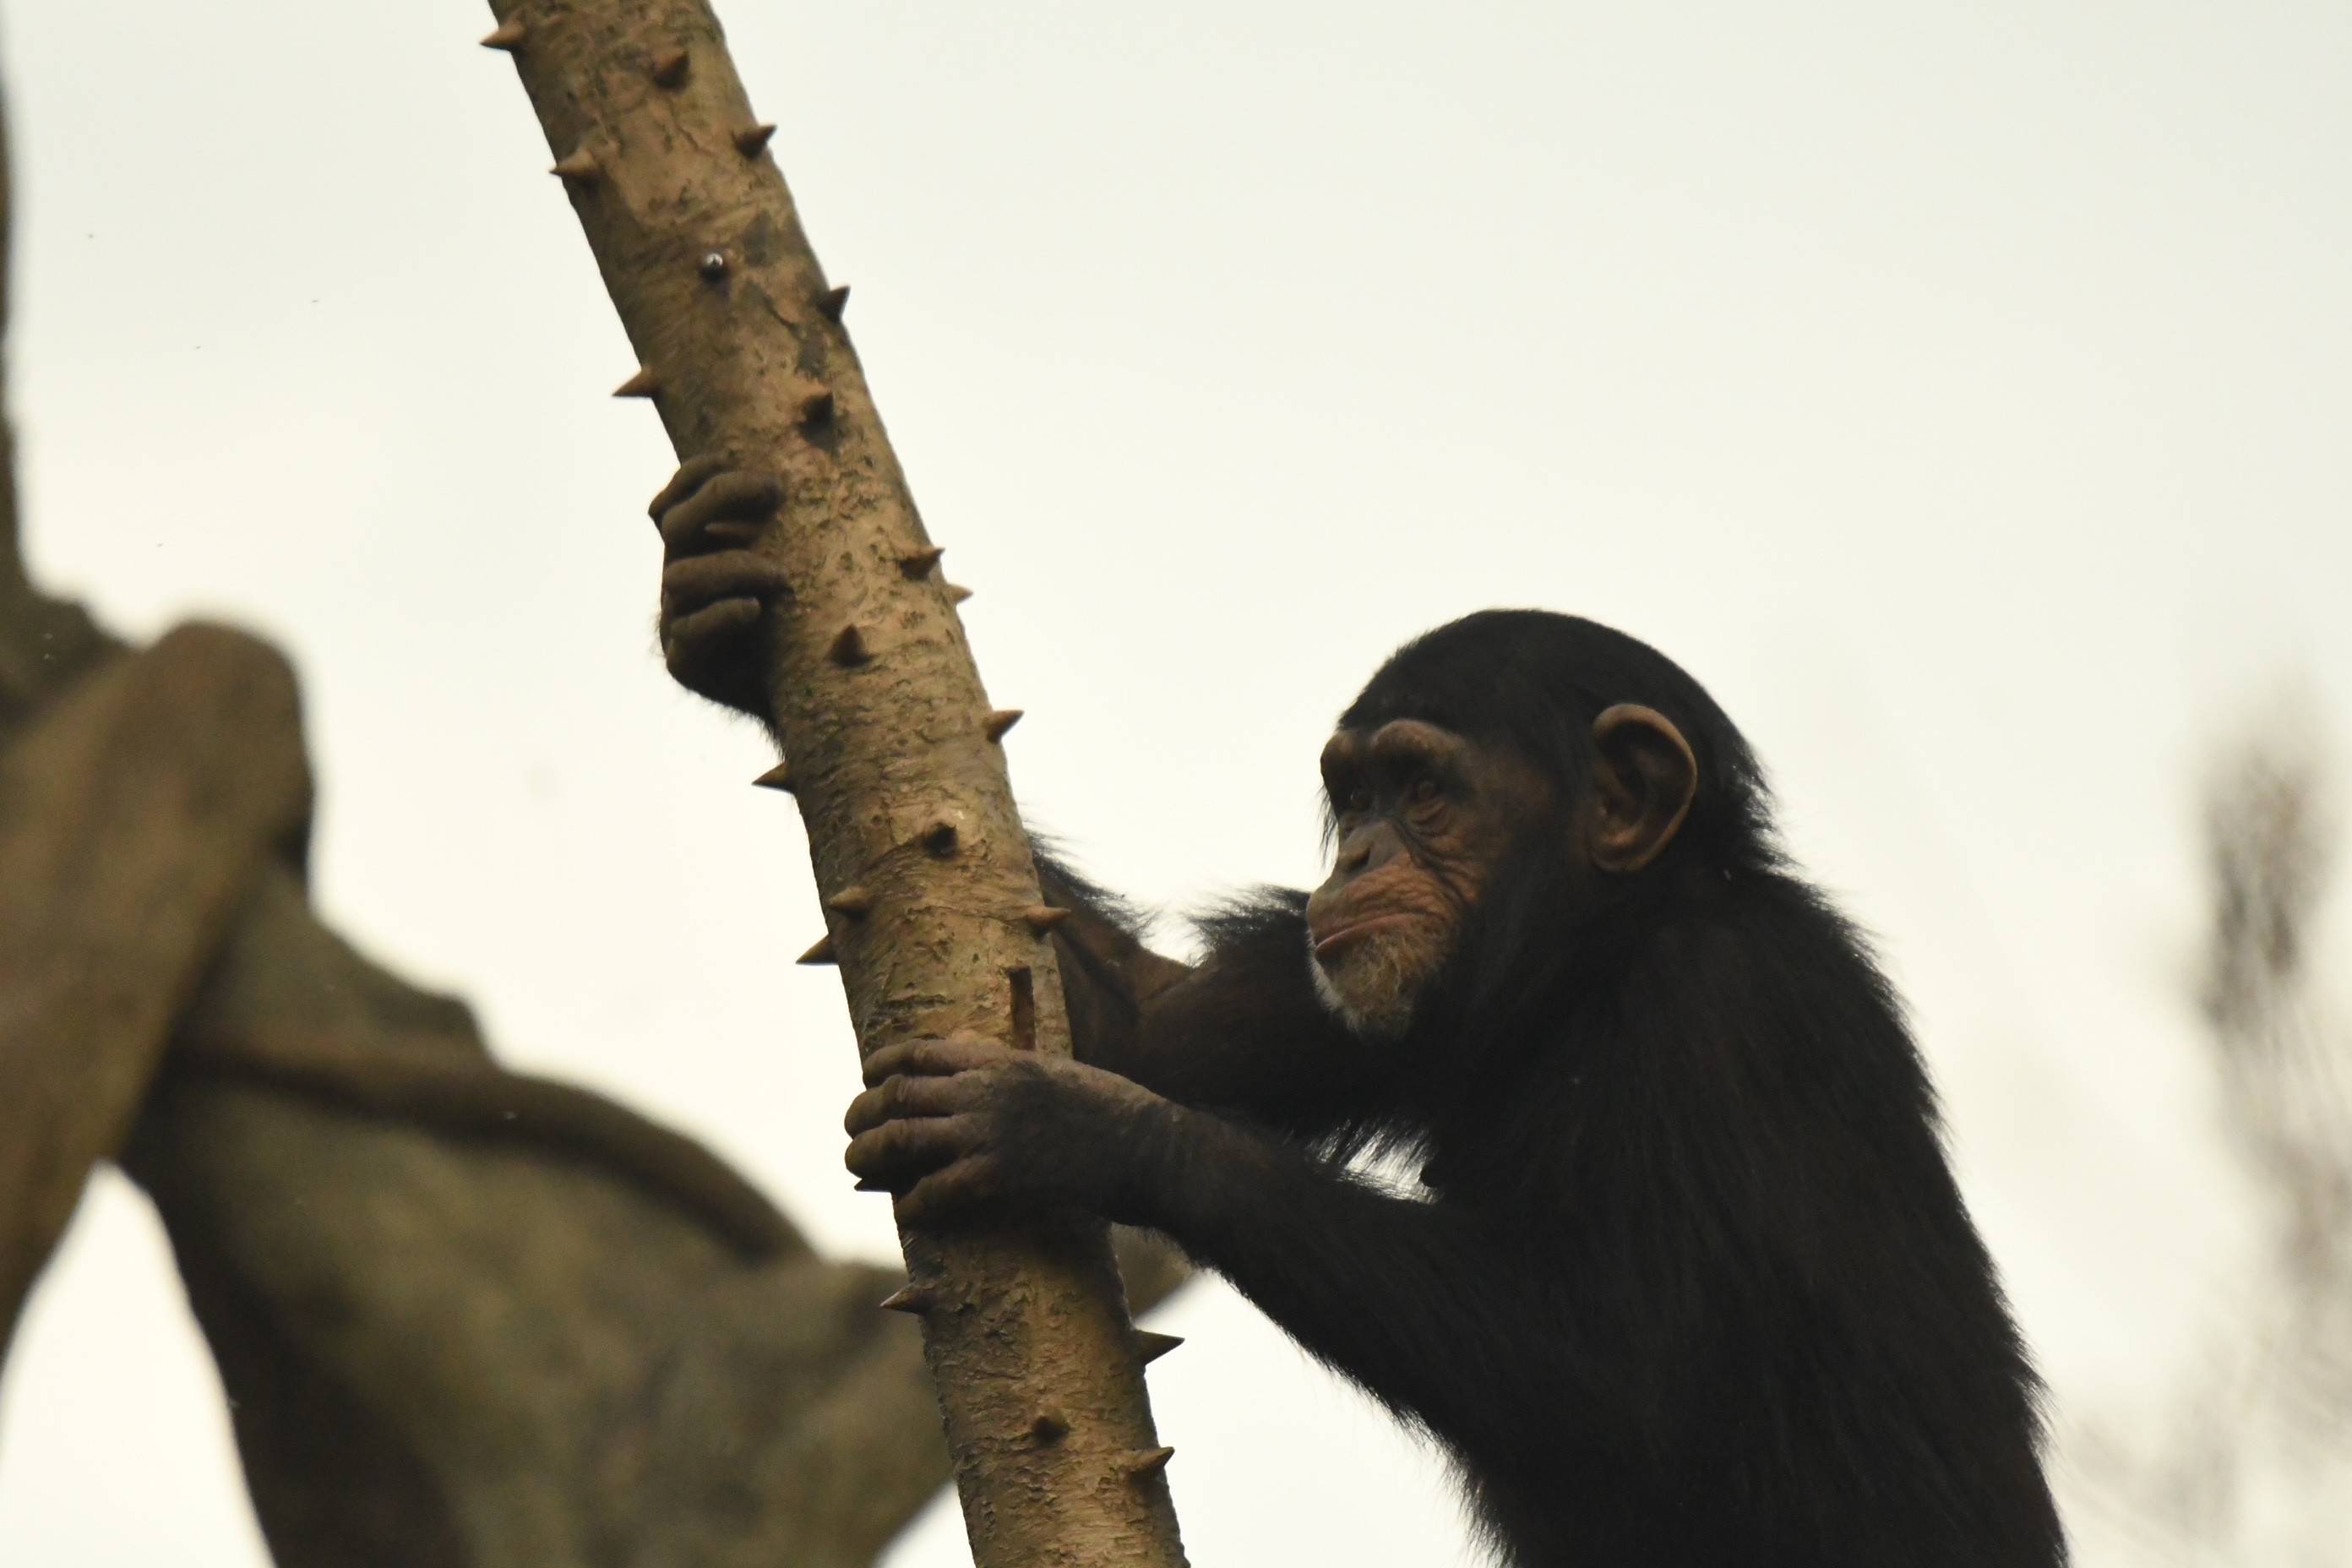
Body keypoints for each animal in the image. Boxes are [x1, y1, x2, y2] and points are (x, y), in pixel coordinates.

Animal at [653, 463, 2069, 1568]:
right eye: (1353, 792)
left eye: (1422, 789)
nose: (1360, 857)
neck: (1596, 964)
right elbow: (1158, 1022)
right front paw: (715, 599)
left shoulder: (1729, 1026)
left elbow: (1626, 1384)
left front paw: (1076, 1131)